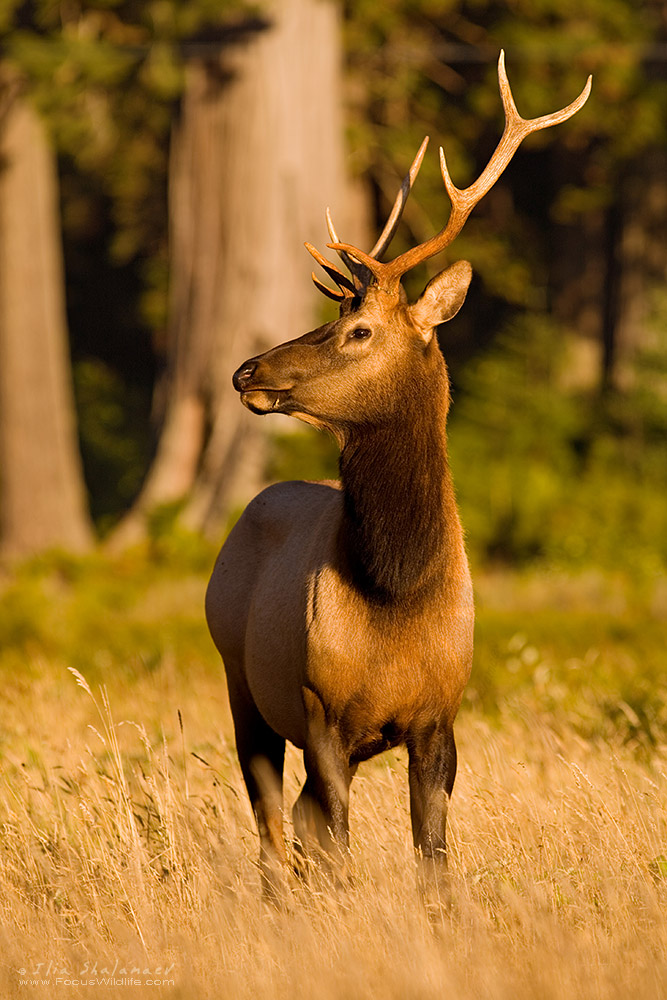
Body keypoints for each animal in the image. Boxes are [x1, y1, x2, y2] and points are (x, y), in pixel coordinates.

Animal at [206, 54, 592, 908]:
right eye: (328, 319)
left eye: (357, 330)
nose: (247, 371)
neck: (397, 596)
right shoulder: (319, 709)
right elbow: (340, 850)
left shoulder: (439, 717)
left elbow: (433, 862)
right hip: (240, 681)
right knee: (273, 828)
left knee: (294, 825)